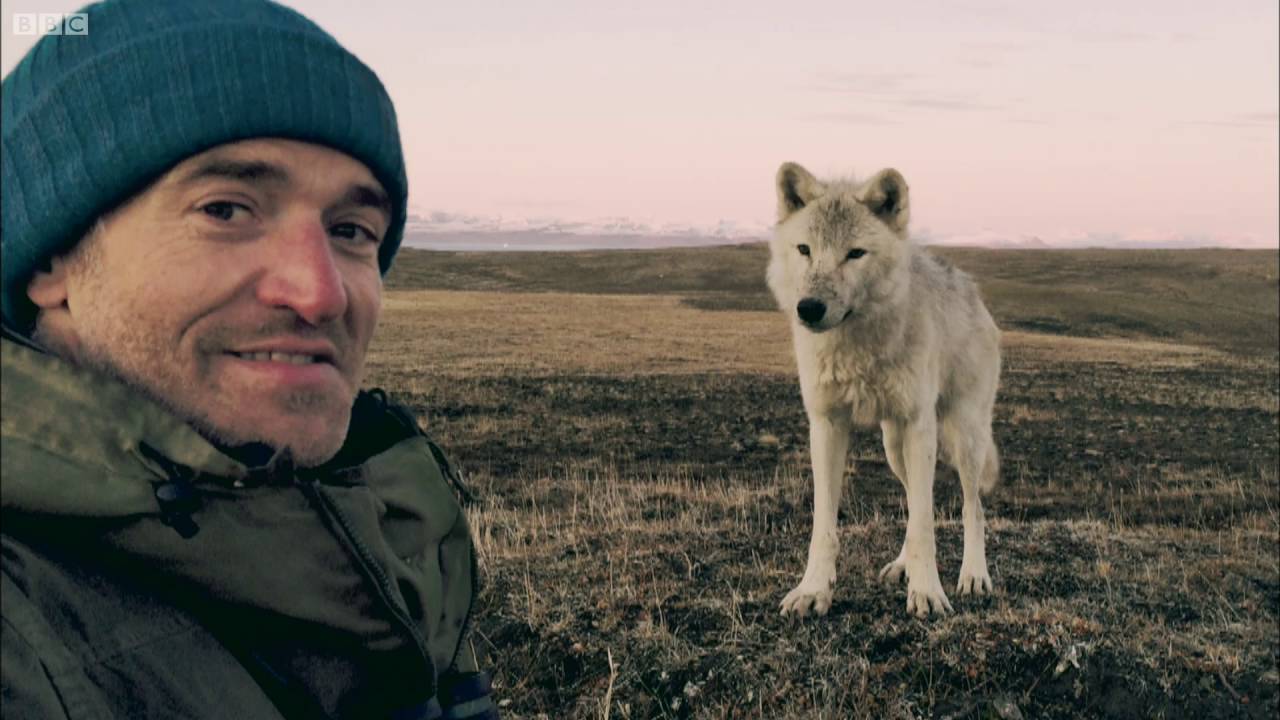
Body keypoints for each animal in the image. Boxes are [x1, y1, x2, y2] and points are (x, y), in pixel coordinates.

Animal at [767, 162, 1001, 618]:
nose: (809, 308)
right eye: (804, 249)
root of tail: (973, 290)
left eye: (855, 253)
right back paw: (901, 565)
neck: (856, 345)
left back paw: (973, 576)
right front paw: (813, 590)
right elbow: (825, 526)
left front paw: (928, 593)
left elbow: (927, 524)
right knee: (914, 501)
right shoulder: (826, 425)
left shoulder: (919, 425)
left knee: (973, 508)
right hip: (894, 446)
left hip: (962, 438)